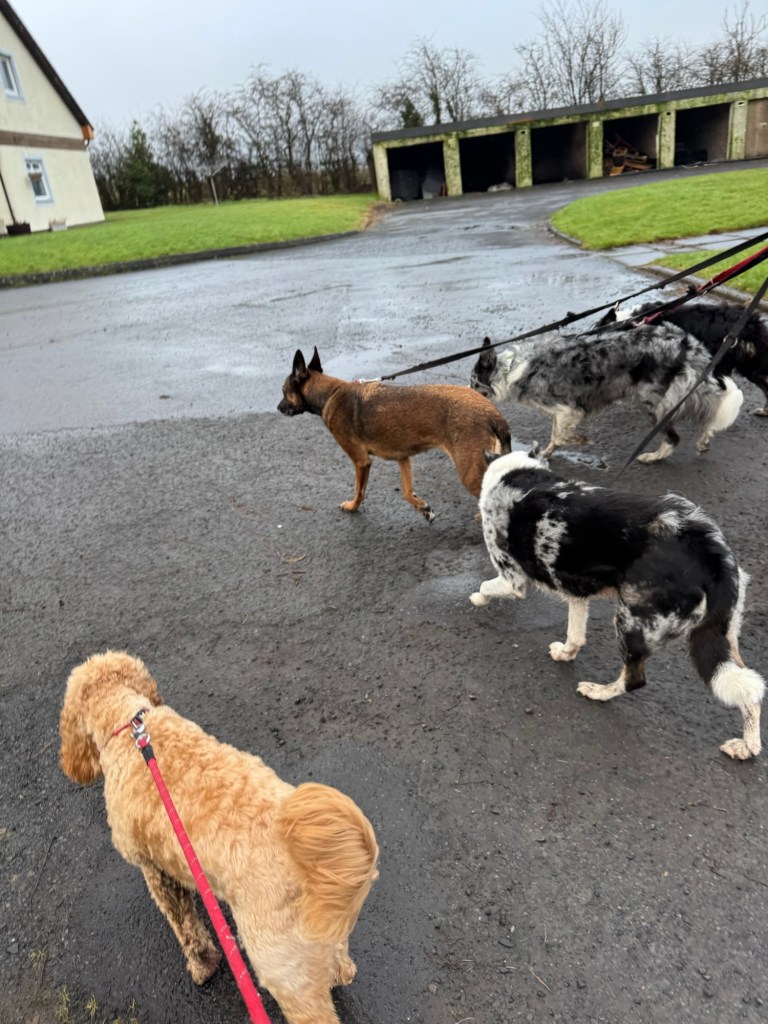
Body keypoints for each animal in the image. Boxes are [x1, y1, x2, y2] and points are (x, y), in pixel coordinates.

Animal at [59, 651, 379, 1024]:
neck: (129, 725)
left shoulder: (154, 869)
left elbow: (185, 925)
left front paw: (202, 966)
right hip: (323, 933)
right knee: (341, 966)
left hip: (285, 972)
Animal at [278, 347, 511, 521]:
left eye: (283, 391)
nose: (278, 408)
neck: (330, 393)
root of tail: (493, 414)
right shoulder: (403, 458)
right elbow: (408, 492)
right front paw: (423, 508)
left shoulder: (361, 462)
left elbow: (359, 490)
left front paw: (352, 506)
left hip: (471, 473)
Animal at [469, 323, 743, 462]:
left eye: (473, 382)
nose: (466, 395)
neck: (510, 369)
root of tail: (688, 345)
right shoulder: (562, 413)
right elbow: (554, 437)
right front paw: (546, 453)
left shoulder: (568, 409)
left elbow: (560, 436)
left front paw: (581, 441)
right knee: (708, 411)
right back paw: (703, 441)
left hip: (652, 402)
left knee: (675, 436)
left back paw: (652, 456)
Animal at [470, 450, 764, 759]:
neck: (518, 474)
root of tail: (710, 550)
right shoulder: (576, 593)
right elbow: (575, 635)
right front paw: (566, 653)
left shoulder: (512, 582)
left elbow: (484, 587)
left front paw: (477, 599)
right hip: (722, 637)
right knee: (751, 692)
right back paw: (748, 745)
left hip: (632, 623)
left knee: (635, 680)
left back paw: (599, 692)